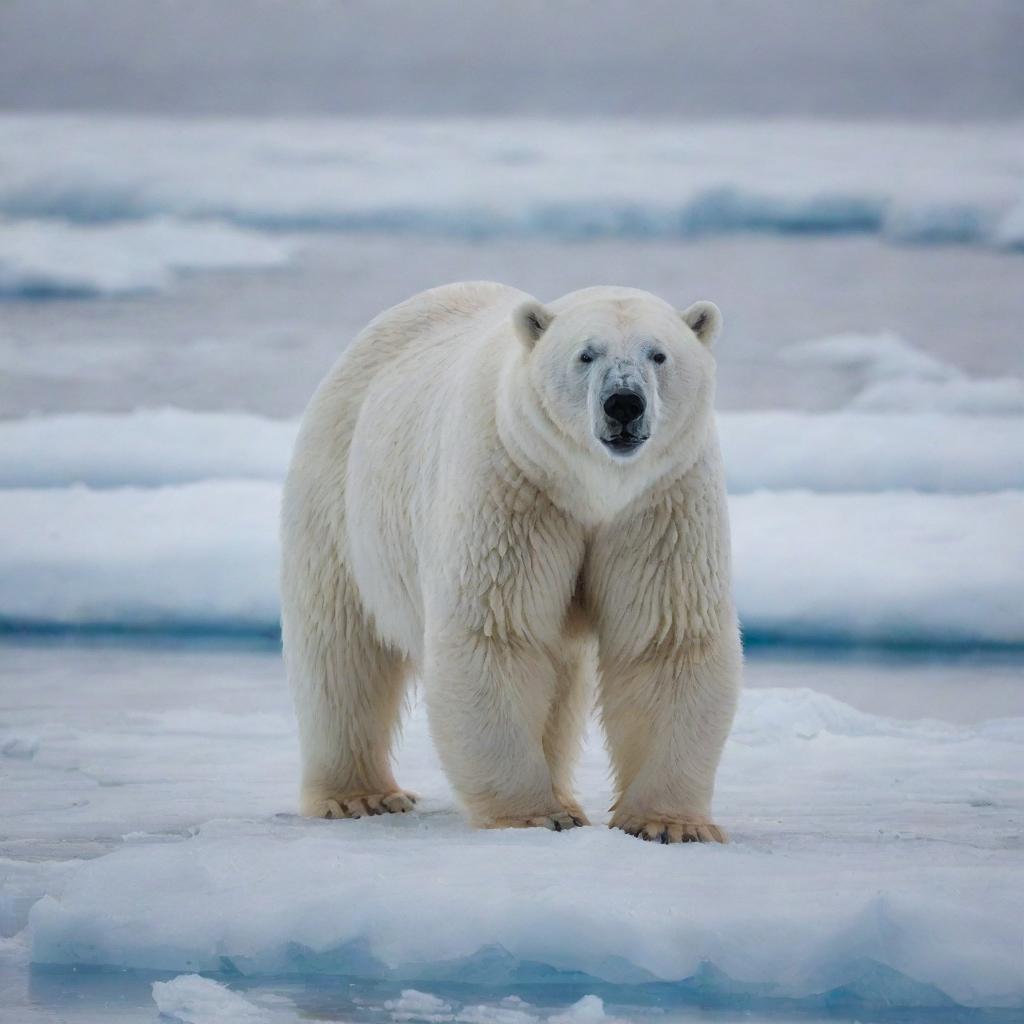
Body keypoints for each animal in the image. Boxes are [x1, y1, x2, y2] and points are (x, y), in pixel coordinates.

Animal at [284, 278, 741, 839]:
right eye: (586, 354)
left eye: (658, 354)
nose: (624, 403)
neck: (591, 490)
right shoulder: (513, 485)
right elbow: (498, 633)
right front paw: (535, 815)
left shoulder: (660, 503)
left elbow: (664, 640)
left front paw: (668, 825)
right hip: (340, 494)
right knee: (341, 650)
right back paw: (359, 796)